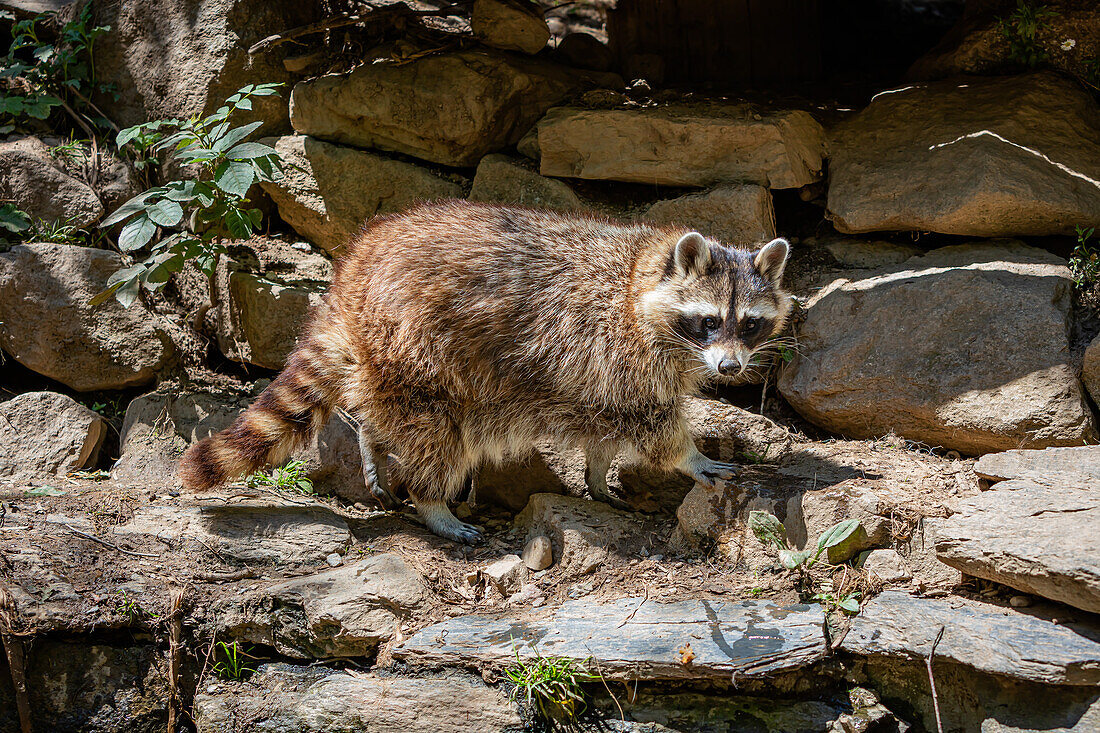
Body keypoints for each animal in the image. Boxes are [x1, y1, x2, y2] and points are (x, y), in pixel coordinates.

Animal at [184, 200, 796, 541]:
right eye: (709, 321)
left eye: (750, 326)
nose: (730, 365)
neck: (637, 281)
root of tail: (355, 269)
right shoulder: (620, 347)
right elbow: (652, 421)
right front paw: (691, 458)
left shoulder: (606, 369)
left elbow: (605, 419)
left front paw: (599, 476)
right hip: (417, 342)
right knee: (438, 429)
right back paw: (431, 500)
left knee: (391, 408)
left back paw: (374, 443)